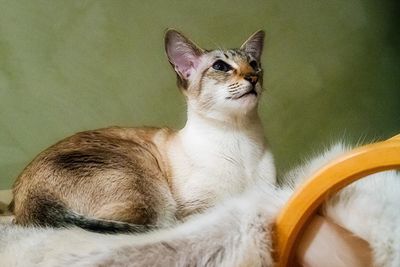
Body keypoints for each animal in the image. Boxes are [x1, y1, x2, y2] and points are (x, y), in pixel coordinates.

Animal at [10, 29, 276, 233]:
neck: (239, 138)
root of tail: (26, 206)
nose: (253, 77)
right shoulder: (199, 208)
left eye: (254, 65)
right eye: (221, 66)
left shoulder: (267, 191)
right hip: (152, 191)